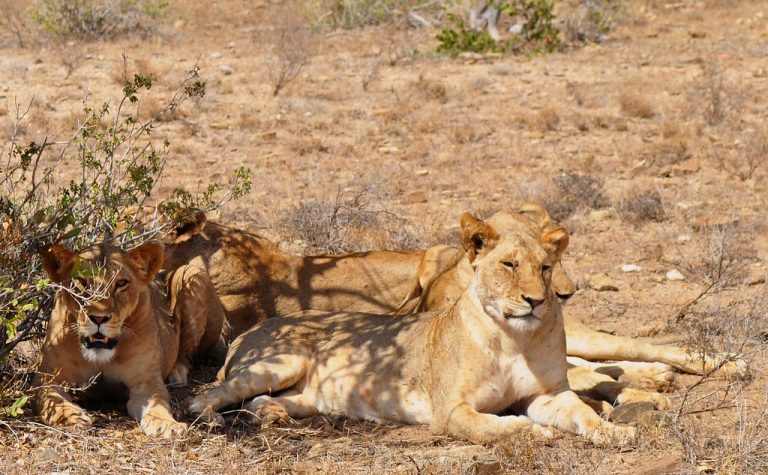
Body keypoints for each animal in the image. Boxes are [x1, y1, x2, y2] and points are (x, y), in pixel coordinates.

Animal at [33, 241, 225, 438]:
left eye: (121, 283)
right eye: (81, 282)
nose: (99, 318)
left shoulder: (146, 382)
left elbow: (158, 403)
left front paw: (166, 424)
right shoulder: (48, 378)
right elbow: (51, 400)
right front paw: (72, 417)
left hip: (193, 273)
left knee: (186, 355)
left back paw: (176, 374)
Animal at [189, 214, 636, 445]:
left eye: (544, 267)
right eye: (509, 265)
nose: (537, 300)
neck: (516, 339)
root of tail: (250, 330)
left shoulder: (549, 395)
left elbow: (584, 414)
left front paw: (617, 431)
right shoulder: (451, 410)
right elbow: (496, 427)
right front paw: (534, 430)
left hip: (305, 394)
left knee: (258, 401)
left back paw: (276, 414)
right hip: (282, 362)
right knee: (213, 394)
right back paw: (208, 419)